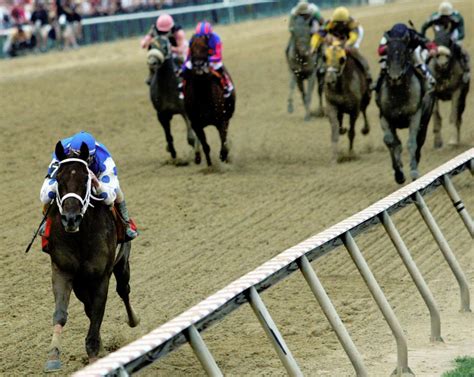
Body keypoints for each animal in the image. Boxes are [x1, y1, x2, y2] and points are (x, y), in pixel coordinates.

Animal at [42, 142, 140, 374]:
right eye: (58, 179)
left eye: (85, 179)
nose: (70, 218)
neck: (80, 236)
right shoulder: (62, 271)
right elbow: (61, 313)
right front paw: (53, 355)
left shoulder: (101, 276)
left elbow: (98, 312)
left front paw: (95, 355)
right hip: (80, 282)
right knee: (87, 307)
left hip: (122, 262)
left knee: (123, 289)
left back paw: (133, 319)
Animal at [148, 35, 200, 163]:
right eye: (151, 46)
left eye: (165, 46)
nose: (152, 62)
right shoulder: (161, 114)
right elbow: (168, 136)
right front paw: (173, 153)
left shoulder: (185, 111)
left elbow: (191, 137)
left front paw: (197, 153)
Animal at [183, 35, 235, 166]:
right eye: (191, 49)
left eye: (206, 48)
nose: (198, 65)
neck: (203, 96)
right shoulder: (196, 125)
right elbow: (206, 146)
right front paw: (210, 165)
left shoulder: (222, 121)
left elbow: (224, 144)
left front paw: (224, 158)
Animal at [376, 35, 436, 184]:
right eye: (388, 53)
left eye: (404, 53)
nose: (395, 76)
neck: (398, 93)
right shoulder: (385, 117)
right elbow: (390, 141)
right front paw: (399, 174)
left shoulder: (415, 116)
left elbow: (412, 143)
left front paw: (413, 171)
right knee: (396, 142)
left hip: (425, 120)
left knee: (419, 141)